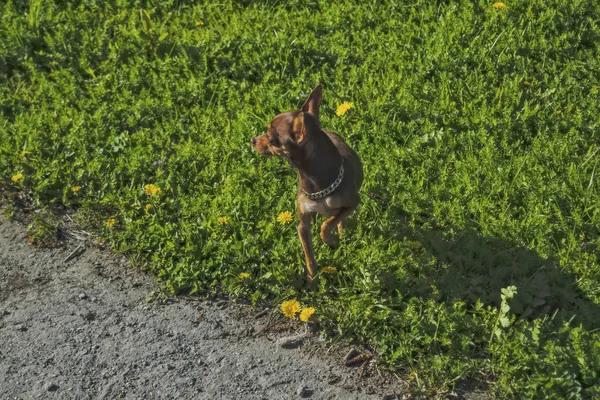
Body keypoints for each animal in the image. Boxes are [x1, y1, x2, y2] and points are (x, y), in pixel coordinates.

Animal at [247, 84, 360, 290]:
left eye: (270, 135)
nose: (252, 140)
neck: (315, 183)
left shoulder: (353, 203)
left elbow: (328, 223)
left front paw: (327, 238)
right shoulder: (302, 227)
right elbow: (310, 259)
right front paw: (313, 283)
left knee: (339, 222)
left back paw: (342, 236)